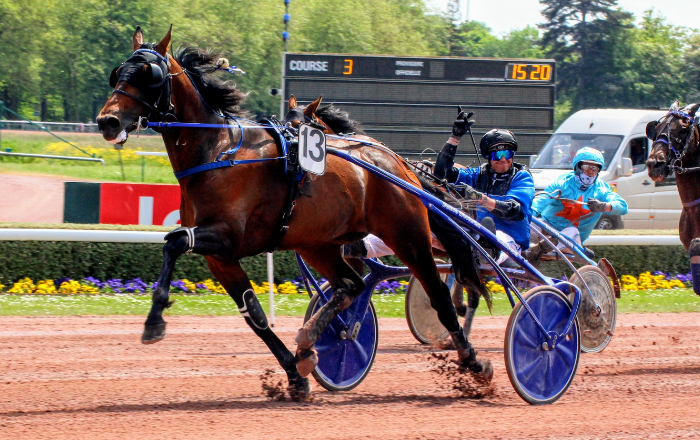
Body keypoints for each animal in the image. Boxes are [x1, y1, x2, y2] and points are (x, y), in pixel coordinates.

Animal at [95, 27, 490, 398]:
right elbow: (253, 314)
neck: (217, 152)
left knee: (438, 296)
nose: (107, 122)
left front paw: (154, 320)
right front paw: (295, 375)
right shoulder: (220, 257)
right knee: (351, 284)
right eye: (118, 73)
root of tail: (399, 164)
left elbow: (174, 241)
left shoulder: (227, 236)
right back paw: (308, 341)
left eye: (149, 74)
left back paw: (474, 363)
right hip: (317, 243)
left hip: (408, 235)